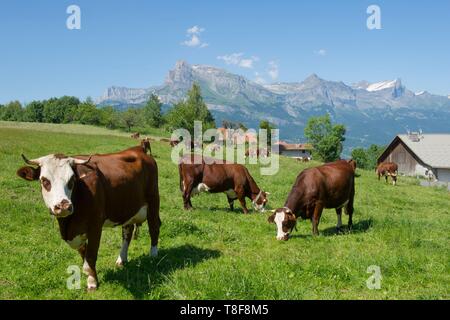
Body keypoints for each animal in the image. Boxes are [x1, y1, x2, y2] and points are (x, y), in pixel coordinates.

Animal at [15, 144, 160, 292]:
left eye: (72, 180)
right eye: (44, 180)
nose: (63, 206)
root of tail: (139, 148)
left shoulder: (95, 226)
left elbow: (90, 256)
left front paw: (92, 283)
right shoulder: (75, 234)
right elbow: (83, 255)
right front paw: (92, 276)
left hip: (153, 200)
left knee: (154, 227)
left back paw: (153, 256)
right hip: (128, 208)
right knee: (127, 232)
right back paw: (121, 259)